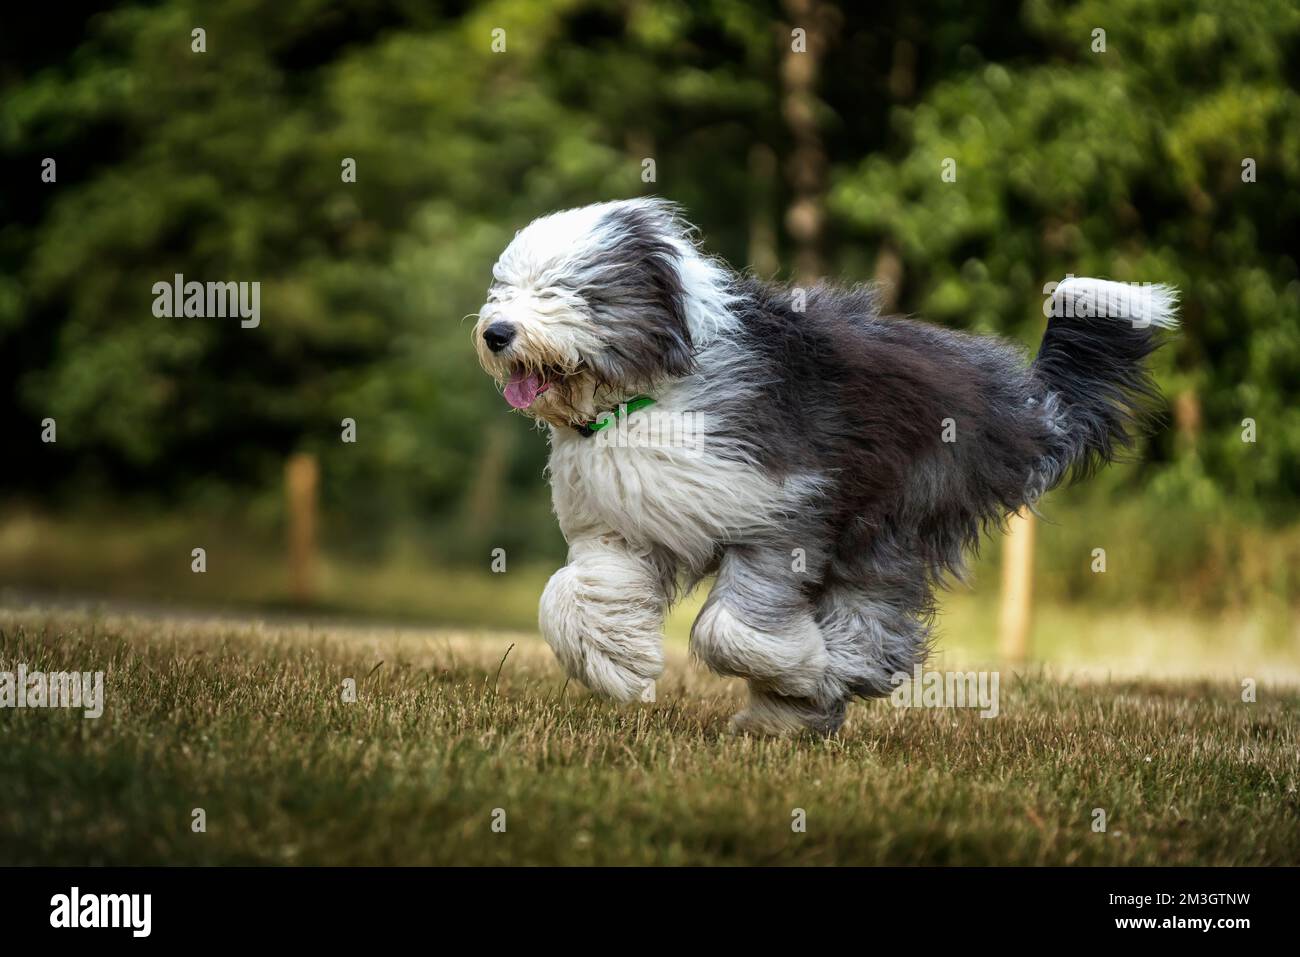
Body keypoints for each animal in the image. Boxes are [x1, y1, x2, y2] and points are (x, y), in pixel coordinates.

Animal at [475, 196, 1180, 733]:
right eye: (504, 287)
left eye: (564, 289)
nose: (496, 333)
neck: (646, 396)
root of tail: (1018, 401)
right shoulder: (622, 525)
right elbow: (571, 595)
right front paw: (616, 664)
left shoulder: (783, 508)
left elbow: (730, 630)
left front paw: (802, 669)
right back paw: (787, 716)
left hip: (894, 514)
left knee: (872, 611)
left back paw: (822, 683)